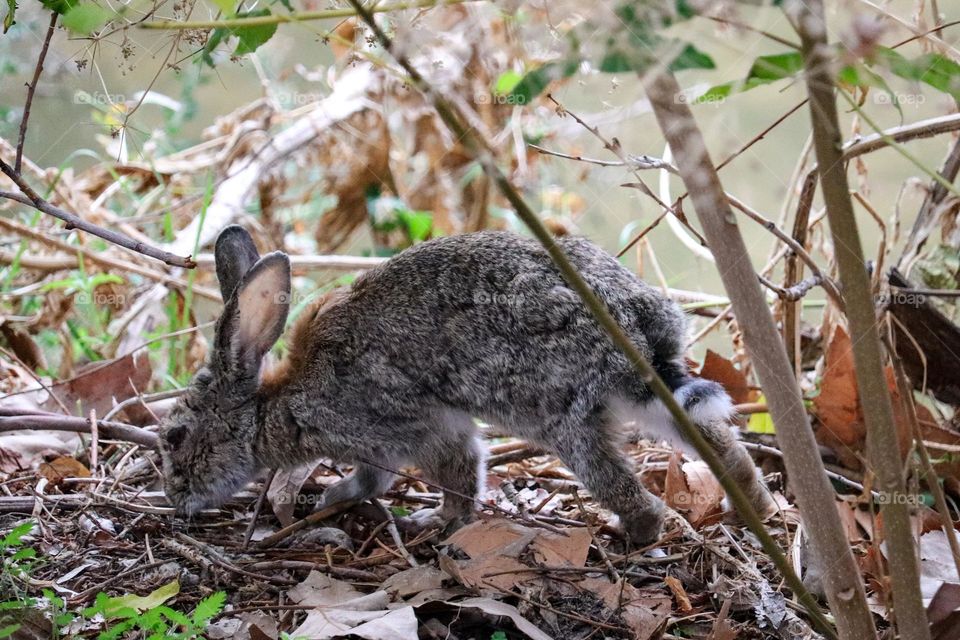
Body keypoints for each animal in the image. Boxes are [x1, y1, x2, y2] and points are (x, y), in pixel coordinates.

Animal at [158, 226, 772, 544]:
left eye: (175, 437)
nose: (175, 499)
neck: (275, 407)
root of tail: (635, 325)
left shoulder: (409, 430)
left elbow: (439, 476)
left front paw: (433, 521)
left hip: (560, 415)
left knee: (625, 489)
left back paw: (635, 532)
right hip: (655, 401)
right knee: (717, 442)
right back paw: (756, 506)